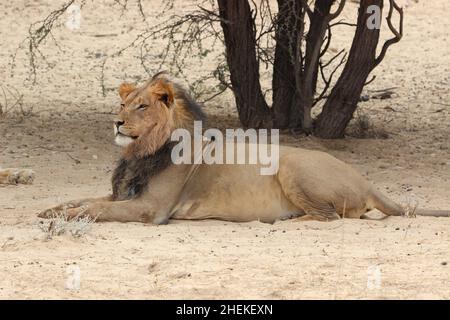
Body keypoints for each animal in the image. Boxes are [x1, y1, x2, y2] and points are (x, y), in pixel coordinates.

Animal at [38, 73, 450, 222]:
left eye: (141, 107)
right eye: (123, 104)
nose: (117, 122)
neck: (139, 154)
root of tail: (367, 182)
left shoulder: (150, 209)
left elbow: (94, 209)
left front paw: (63, 217)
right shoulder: (124, 193)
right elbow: (82, 200)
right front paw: (50, 210)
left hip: (291, 166)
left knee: (329, 217)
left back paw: (285, 222)